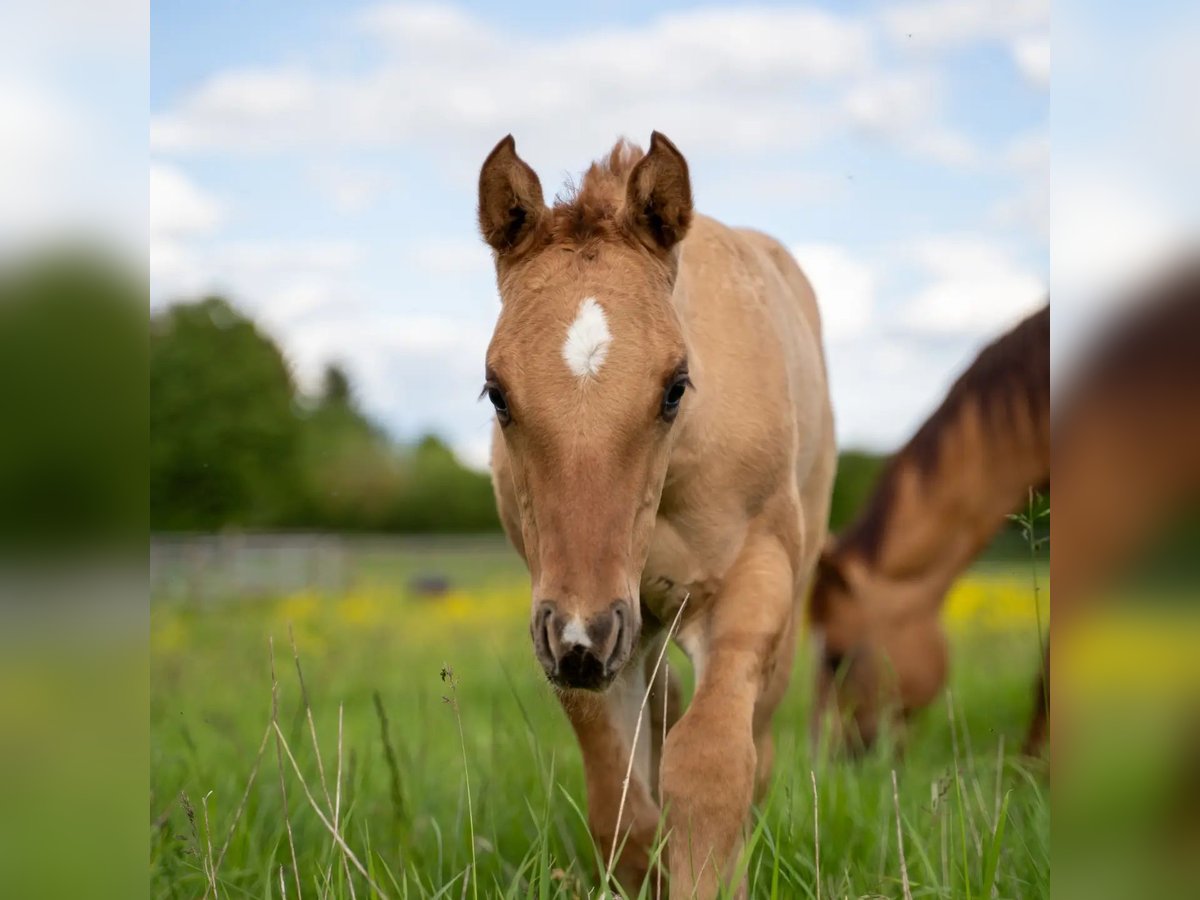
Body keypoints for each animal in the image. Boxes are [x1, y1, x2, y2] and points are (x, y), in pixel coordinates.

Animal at [477, 130, 835, 897]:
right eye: (497, 392)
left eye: (675, 386)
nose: (582, 635)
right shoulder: (575, 622)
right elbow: (619, 799)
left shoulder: (749, 584)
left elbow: (710, 766)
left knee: (754, 739)